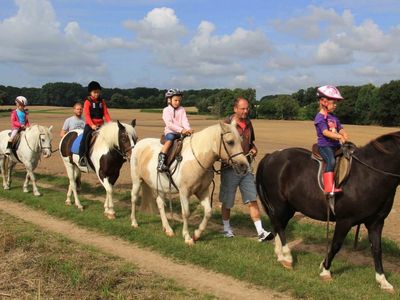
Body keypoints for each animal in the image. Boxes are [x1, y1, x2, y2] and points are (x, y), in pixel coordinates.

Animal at [255, 132, 400, 292]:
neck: (369, 174)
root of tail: (271, 156)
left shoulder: (376, 222)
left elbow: (377, 250)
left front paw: (383, 281)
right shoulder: (345, 220)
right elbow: (336, 245)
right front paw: (325, 270)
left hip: (288, 208)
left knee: (278, 225)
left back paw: (280, 256)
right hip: (279, 204)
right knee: (279, 226)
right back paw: (287, 257)